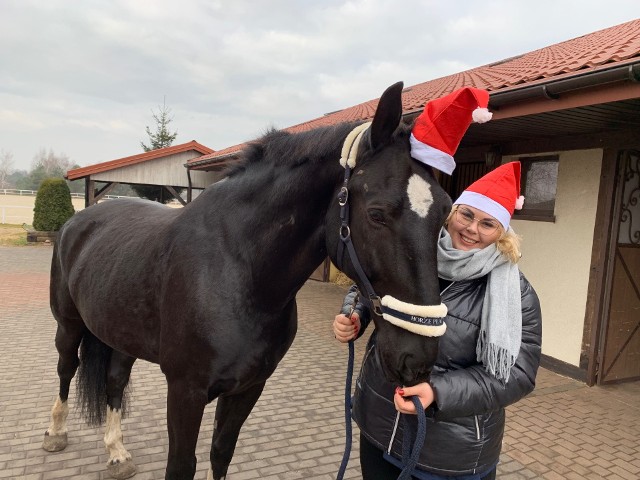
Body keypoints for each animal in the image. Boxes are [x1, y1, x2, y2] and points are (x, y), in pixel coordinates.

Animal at [42, 83, 452, 480]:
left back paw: (117, 453)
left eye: (445, 212)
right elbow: (181, 465)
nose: (418, 358)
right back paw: (55, 434)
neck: (238, 271)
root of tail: (80, 220)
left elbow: (221, 454)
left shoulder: (248, 387)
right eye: (377, 214)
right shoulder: (185, 391)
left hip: (121, 334)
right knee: (66, 369)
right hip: (69, 326)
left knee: (114, 380)